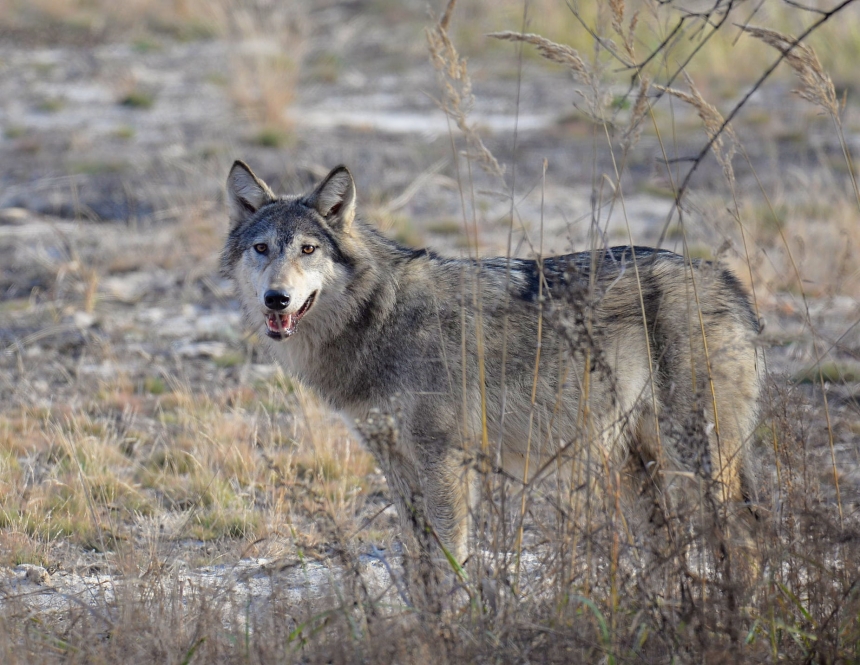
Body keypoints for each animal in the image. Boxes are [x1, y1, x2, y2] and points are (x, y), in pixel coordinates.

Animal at [220, 161, 760, 560]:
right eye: (261, 248)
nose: (276, 299)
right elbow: (419, 568)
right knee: (670, 544)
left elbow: (450, 561)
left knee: (744, 535)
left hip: (696, 460)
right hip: (636, 464)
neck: (379, 315)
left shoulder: (445, 462)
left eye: (308, 249)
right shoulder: (397, 465)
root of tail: (728, 281)